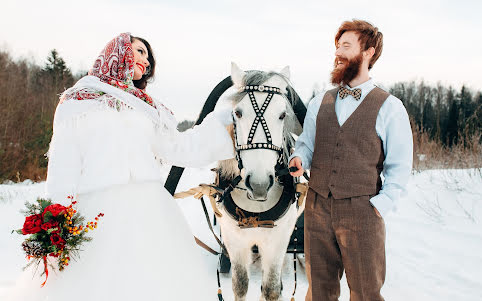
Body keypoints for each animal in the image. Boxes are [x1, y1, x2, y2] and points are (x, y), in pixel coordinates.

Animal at [216, 62, 304, 300]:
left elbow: (271, 288)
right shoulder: (234, 239)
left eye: (282, 115)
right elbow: (240, 284)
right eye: (238, 113)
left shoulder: (278, 238)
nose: (259, 184)